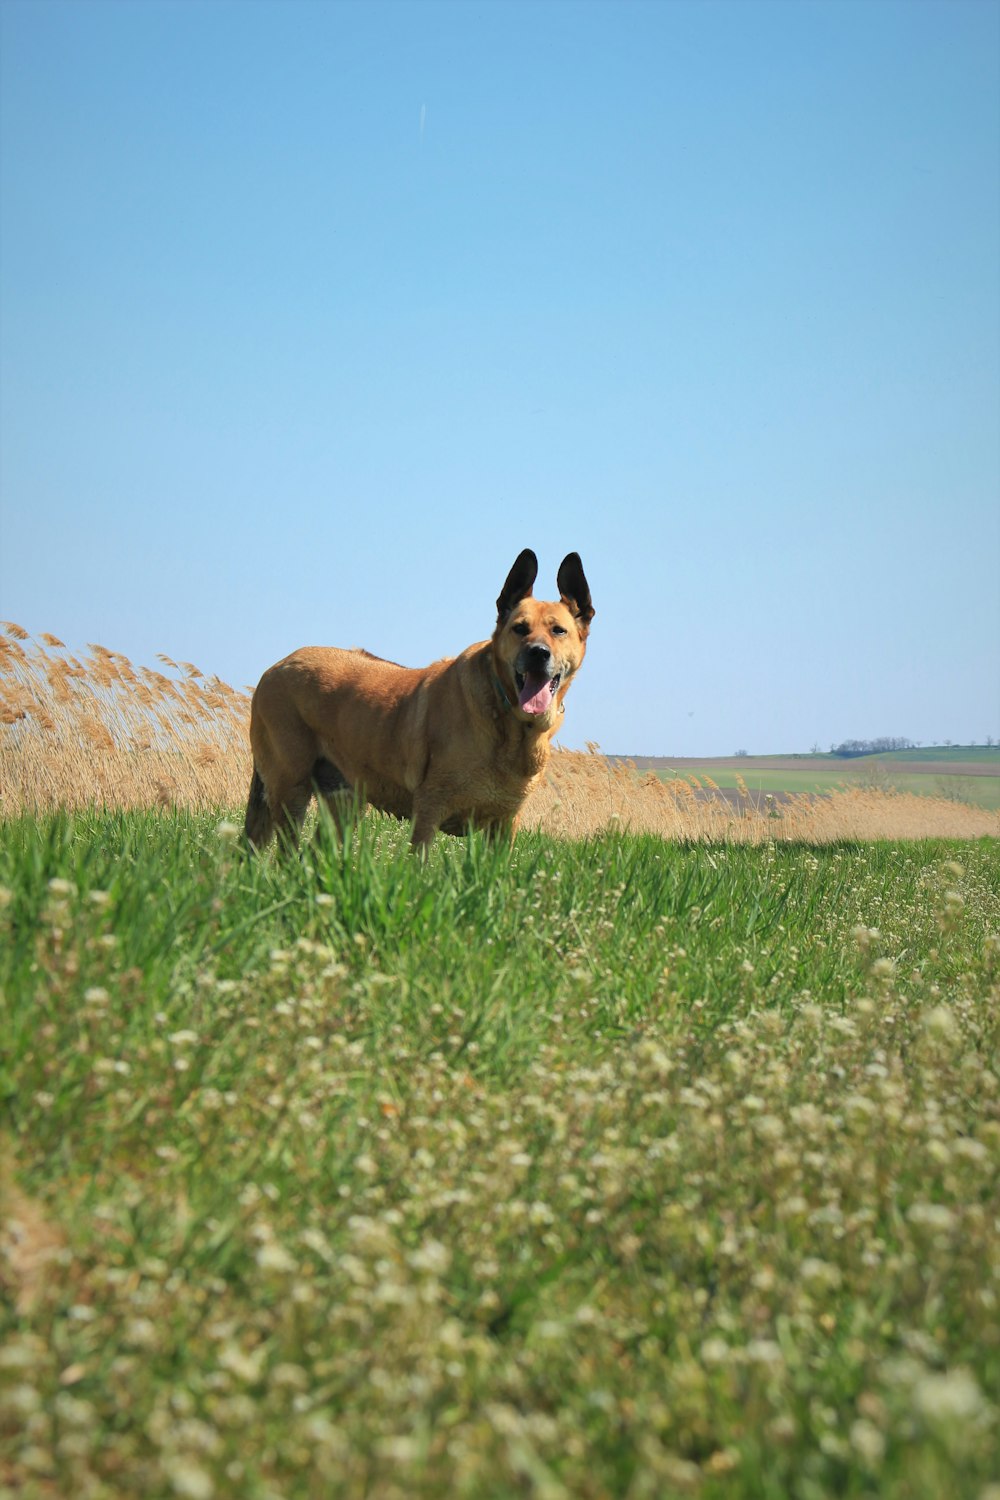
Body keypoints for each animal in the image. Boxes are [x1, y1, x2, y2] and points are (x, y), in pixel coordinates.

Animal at [244, 552, 593, 858]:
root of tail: (277, 666)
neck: (511, 723)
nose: (538, 653)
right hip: (291, 790)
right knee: (286, 855)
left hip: (344, 804)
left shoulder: (504, 825)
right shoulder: (429, 809)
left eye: (558, 631)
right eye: (520, 628)